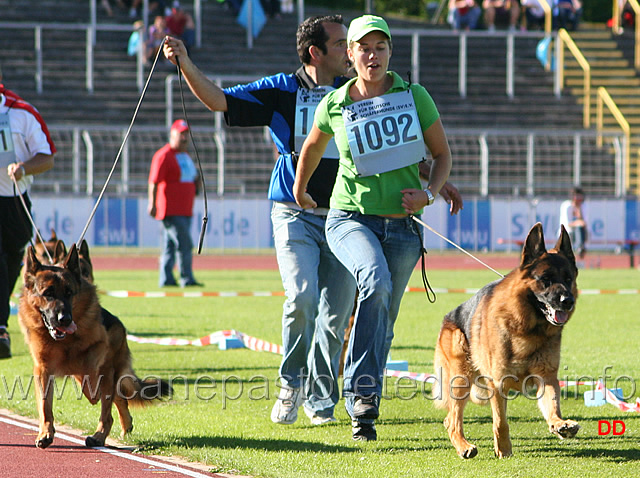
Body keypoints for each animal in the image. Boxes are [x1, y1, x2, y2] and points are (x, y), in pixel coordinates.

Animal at [17, 245, 172, 450]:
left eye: (69, 292)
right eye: (48, 293)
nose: (65, 319)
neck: (65, 342)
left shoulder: (99, 364)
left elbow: (98, 392)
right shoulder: (42, 369)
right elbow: (45, 406)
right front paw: (45, 433)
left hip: (107, 370)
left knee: (110, 401)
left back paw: (102, 434)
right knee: (116, 396)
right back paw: (124, 424)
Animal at [436, 224, 580, 460]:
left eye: (568, 279)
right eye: (546, 279)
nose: (568, 301)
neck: (527, 328)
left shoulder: (547, 376)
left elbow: (552, 406)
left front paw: (560, 424)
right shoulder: (498, 383)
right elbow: (500, 422)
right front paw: (503, 449)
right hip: (461, 379)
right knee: (452, 420)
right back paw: (463, 445)